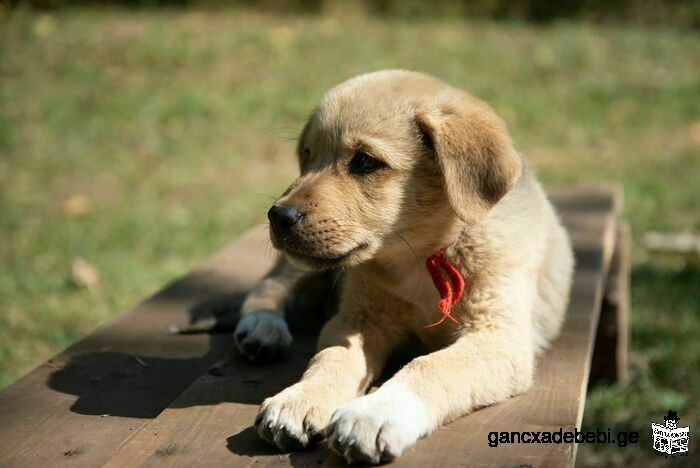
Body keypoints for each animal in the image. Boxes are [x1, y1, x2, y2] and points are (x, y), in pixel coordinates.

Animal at [235, 70, 576, 464]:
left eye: (365, 162)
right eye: (307, 155)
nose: (278, 216)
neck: (422, 255)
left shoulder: (498, 336)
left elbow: (430, 366)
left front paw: (373, 414)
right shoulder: (356, 320)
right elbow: (330, 360)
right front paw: (301, 398)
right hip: (305, 267)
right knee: (270, 285)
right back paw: (262, 327)